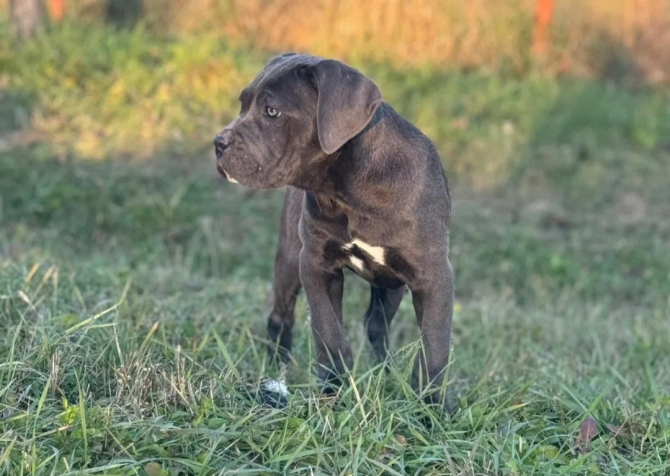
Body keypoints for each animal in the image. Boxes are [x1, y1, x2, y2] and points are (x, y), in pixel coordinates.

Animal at [215, 51, 456, 410]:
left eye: (271, 111)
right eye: (243, 104)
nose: (218, 143)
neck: (349, 187)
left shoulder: (433, 275)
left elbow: (434, 346)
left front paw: (432, 409)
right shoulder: (315, 264)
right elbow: (329, 332)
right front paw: (334, 391)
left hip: (391, 287)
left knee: (376, 325)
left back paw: (385, 373)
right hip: (289, 258)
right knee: (281, 318)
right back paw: (277, 373)